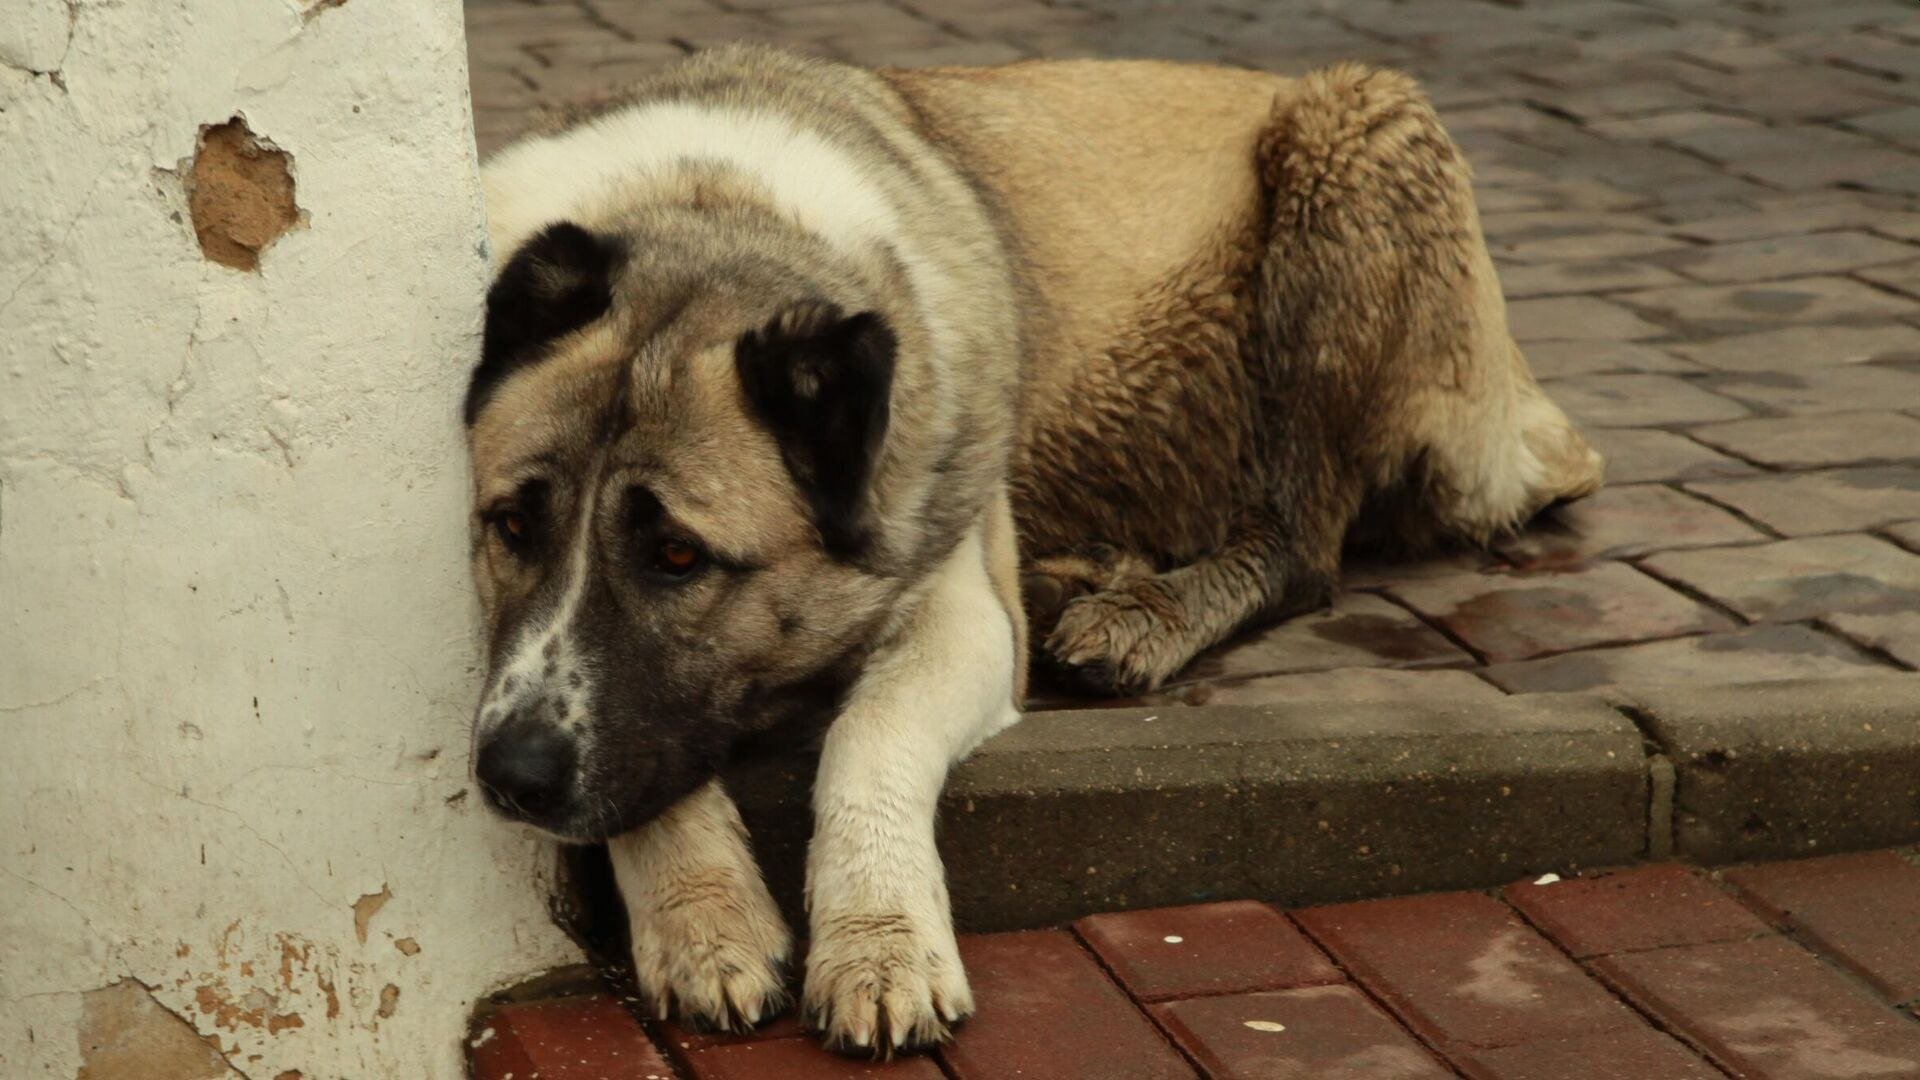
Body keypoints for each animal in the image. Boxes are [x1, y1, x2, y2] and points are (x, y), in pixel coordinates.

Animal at [464, 44, 1605, 1053]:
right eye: (511, 527)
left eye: (679, 558)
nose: (508, 778)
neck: (705, 208)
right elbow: (637, 771)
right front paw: (705, 918)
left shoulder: (957, 607)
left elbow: (866, 738)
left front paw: (879, 946)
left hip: (1346, 162)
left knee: (1303, 548)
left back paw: (1141, 616)